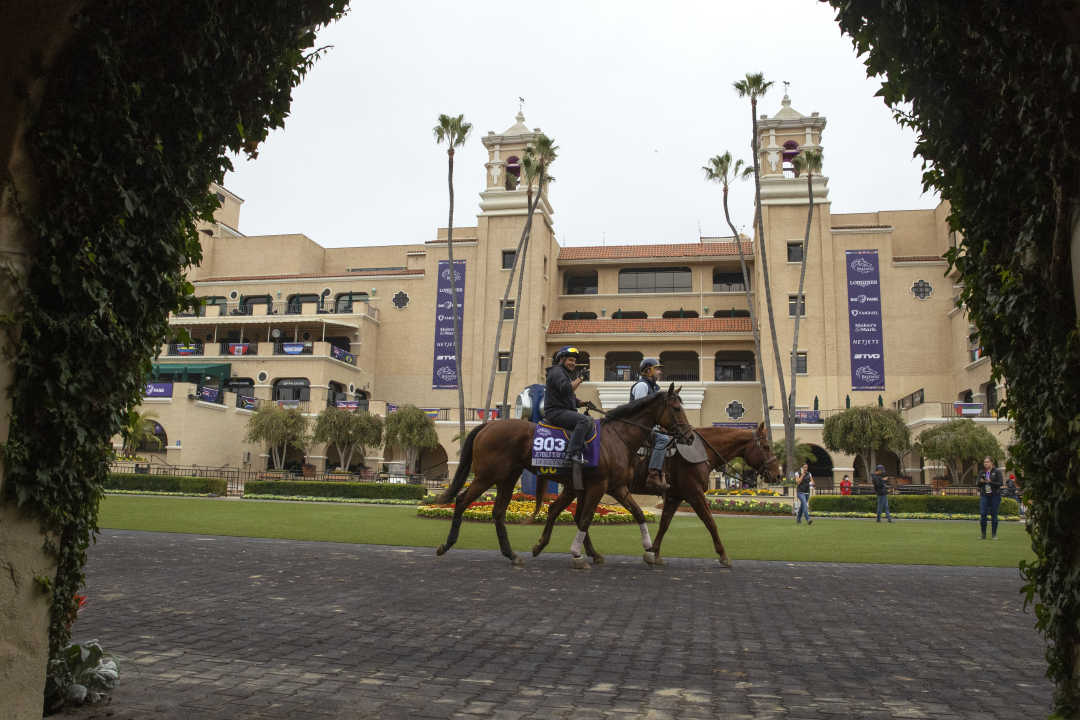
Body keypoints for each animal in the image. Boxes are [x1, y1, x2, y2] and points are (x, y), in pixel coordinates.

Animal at [434, 386, 686, 565]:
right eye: (676, 409)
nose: (689, 435)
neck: (617, 437)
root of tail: (487, 425)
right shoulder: (599, 485)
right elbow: (585, 518)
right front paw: (578, 555)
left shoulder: (615, 487)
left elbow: (638, 514)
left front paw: (649, 552)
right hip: (488, 475)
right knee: (462, 501)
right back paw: (446, 544)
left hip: (508, 476)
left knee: (498, 512)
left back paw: (512, 554)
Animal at [529, 423, 777, 569]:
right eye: (766, 447)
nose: (777, 473)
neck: (700, 451)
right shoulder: (693, 493)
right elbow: (710, 522)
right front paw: (723, 555)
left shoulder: (675, 496)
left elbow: (664, 524)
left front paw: (654, 552)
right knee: (571, 514)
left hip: (579, 489)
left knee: (566, 512)